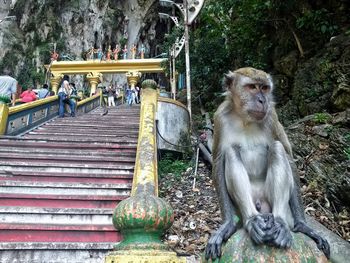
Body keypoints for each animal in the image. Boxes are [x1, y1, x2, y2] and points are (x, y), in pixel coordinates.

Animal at [204, 67, 330, 260]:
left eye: (264, 88)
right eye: (252, 87)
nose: (263, 100)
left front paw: (303, 225)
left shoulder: (272, 115)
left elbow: (288, 156)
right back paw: (252, 221)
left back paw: (279, 224)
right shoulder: (219, 118)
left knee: (277, 148)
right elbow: (218, 161)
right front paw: (227, 225)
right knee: (231, 152)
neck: (245, 118)